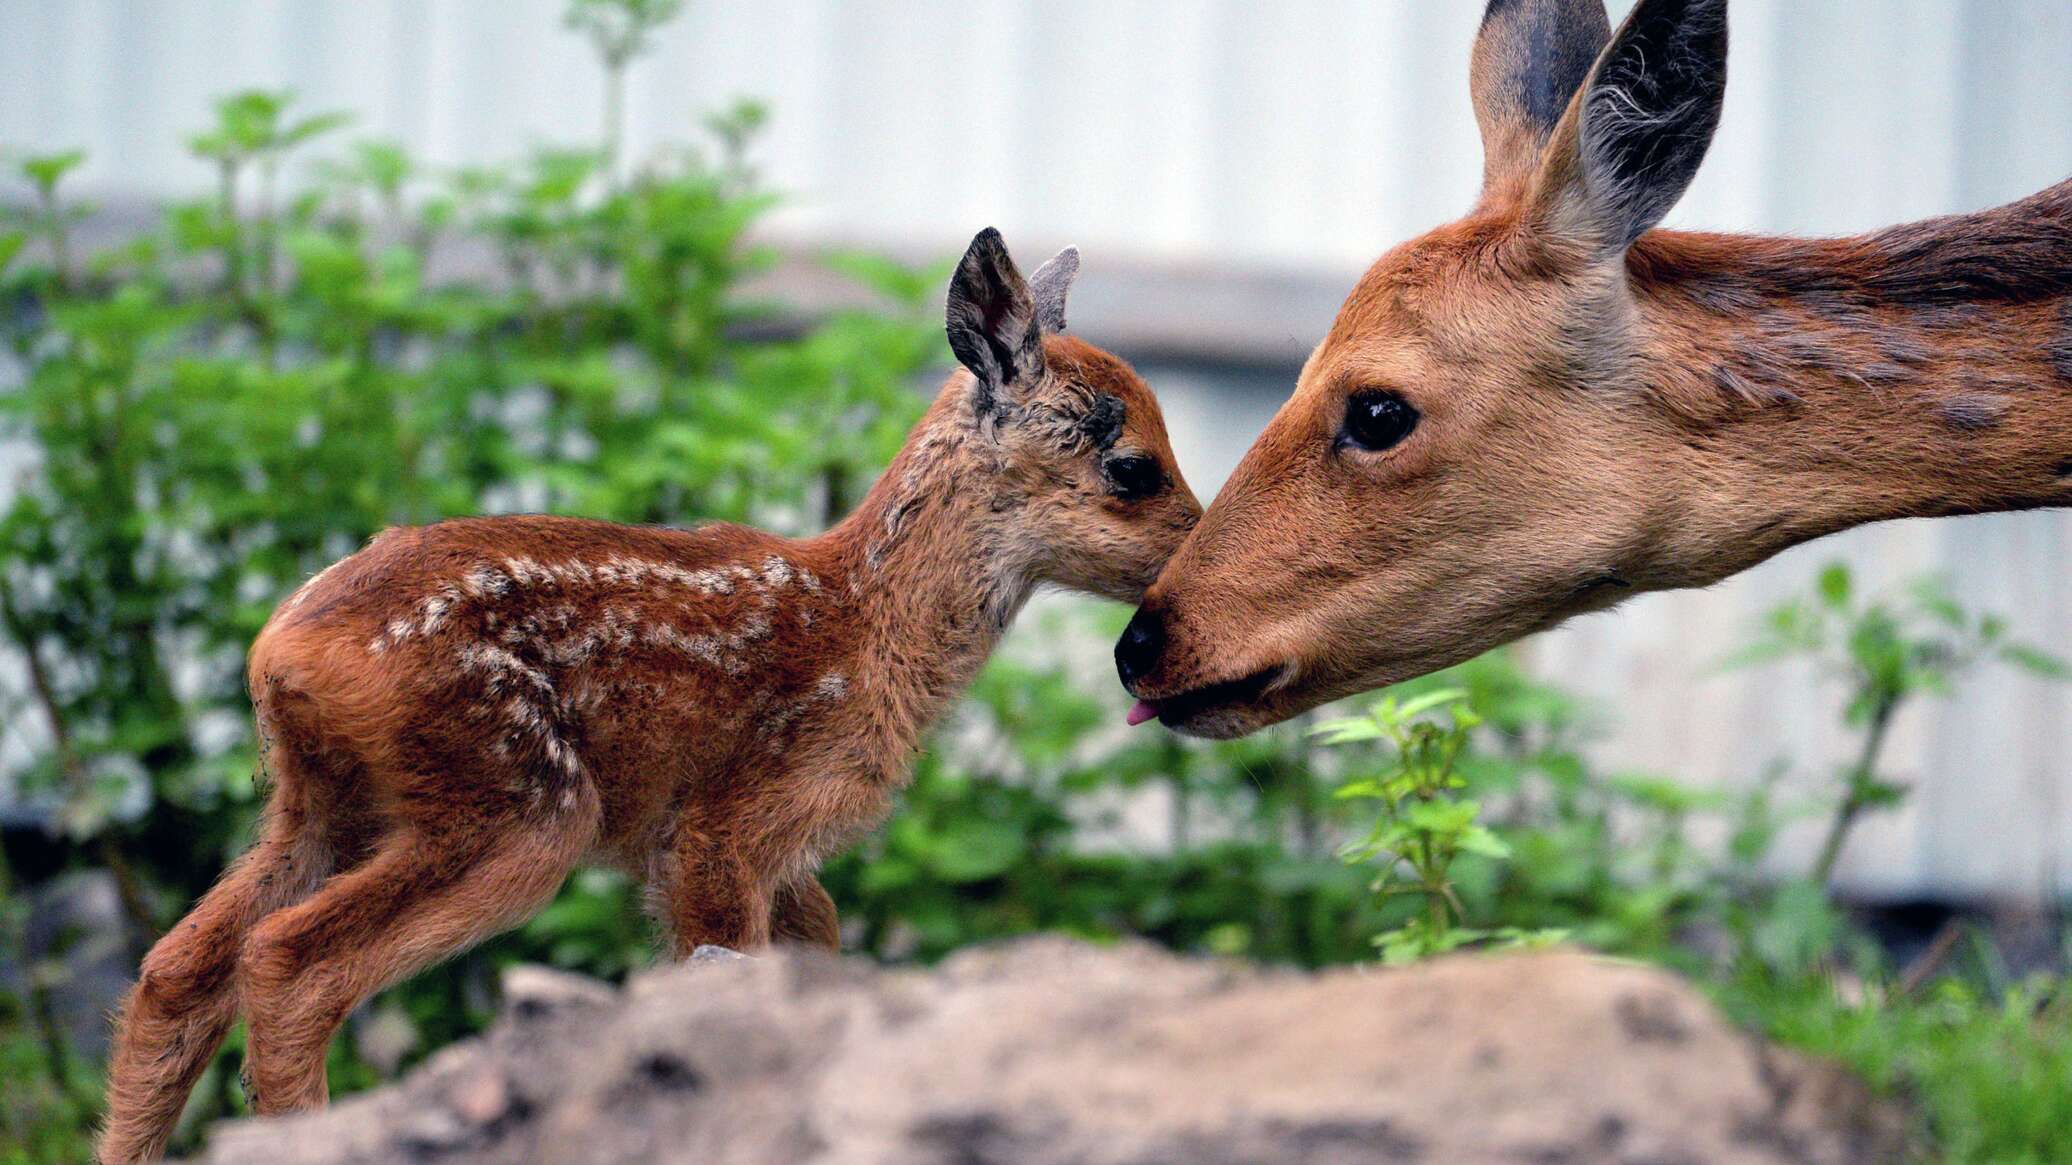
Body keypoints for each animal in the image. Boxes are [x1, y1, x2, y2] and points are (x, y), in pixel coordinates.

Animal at [97, 229, 1201, 1160]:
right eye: (1132, 466)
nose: (1195, 551)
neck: (868, 626)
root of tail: (281, 650)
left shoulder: (772, 859)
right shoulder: (720, 828)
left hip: (322, 801)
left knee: (174, 970)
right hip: (515, 799)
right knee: (287, 963)